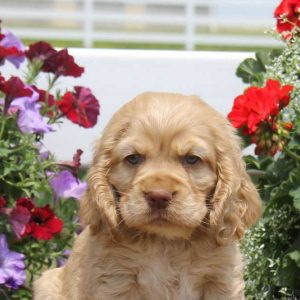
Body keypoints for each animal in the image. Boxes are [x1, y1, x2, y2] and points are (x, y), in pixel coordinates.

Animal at [34, 92, 262, 298]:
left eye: (192, 159)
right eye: (133, 158)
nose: (158, 196)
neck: (166, 243)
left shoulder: (222, 280)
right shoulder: (115, 281)